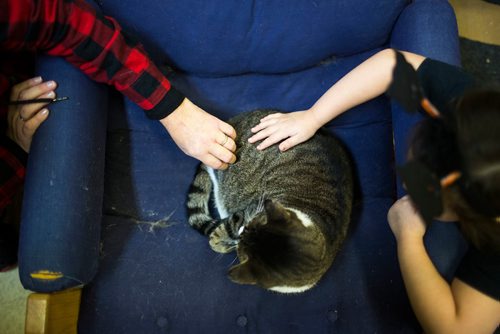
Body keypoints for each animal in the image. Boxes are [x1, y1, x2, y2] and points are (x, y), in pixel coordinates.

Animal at [186, 109, 354, 292]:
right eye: (252, 222)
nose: (241, 232)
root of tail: (232, 122)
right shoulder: (244, 212)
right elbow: (219, 233)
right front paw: (220, 242)